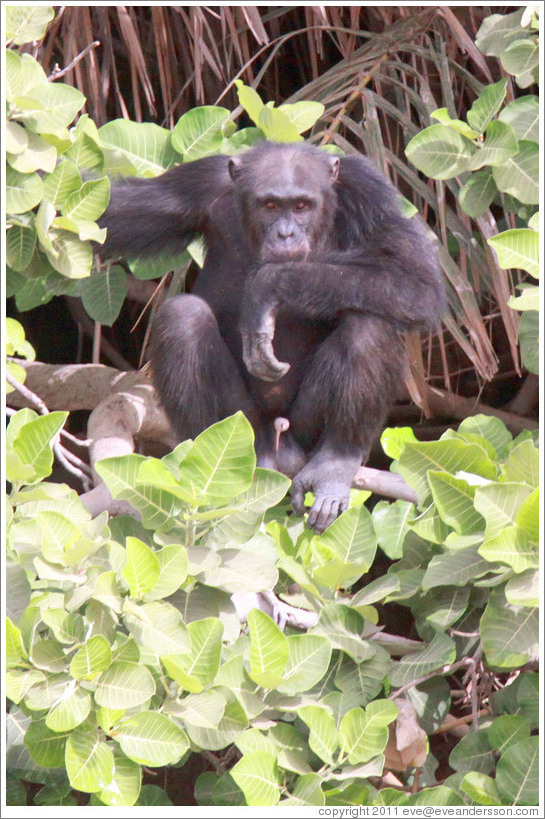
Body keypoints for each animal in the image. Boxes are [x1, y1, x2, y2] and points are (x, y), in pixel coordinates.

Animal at [100, 143, 444, 532]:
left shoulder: (369, 194)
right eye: (270, 205)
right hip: (244, 423)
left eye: (301, 206)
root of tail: (279, 447)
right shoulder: (193, 185)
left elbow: (416, 281)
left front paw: (268, 287)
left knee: (369, 323)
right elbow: (109, 216)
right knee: (182, 318)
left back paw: (335, 463)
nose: (285, 234)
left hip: (305, 429)